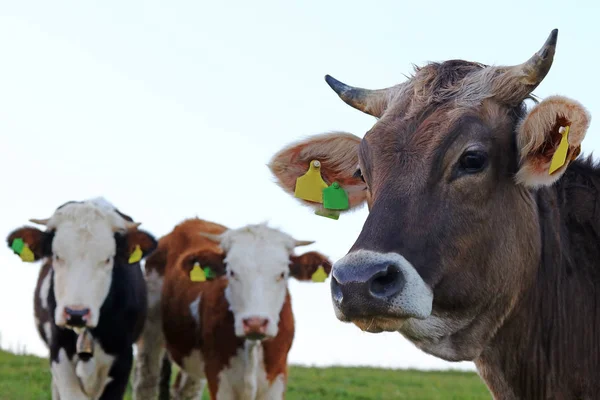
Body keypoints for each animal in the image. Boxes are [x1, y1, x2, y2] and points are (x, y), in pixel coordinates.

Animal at [134, 219, 332, 400]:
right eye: (231, 272)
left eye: (283, 273)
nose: (255, 323)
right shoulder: (218, 377)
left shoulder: (277, 376)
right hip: (151, 332)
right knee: (146, 383)